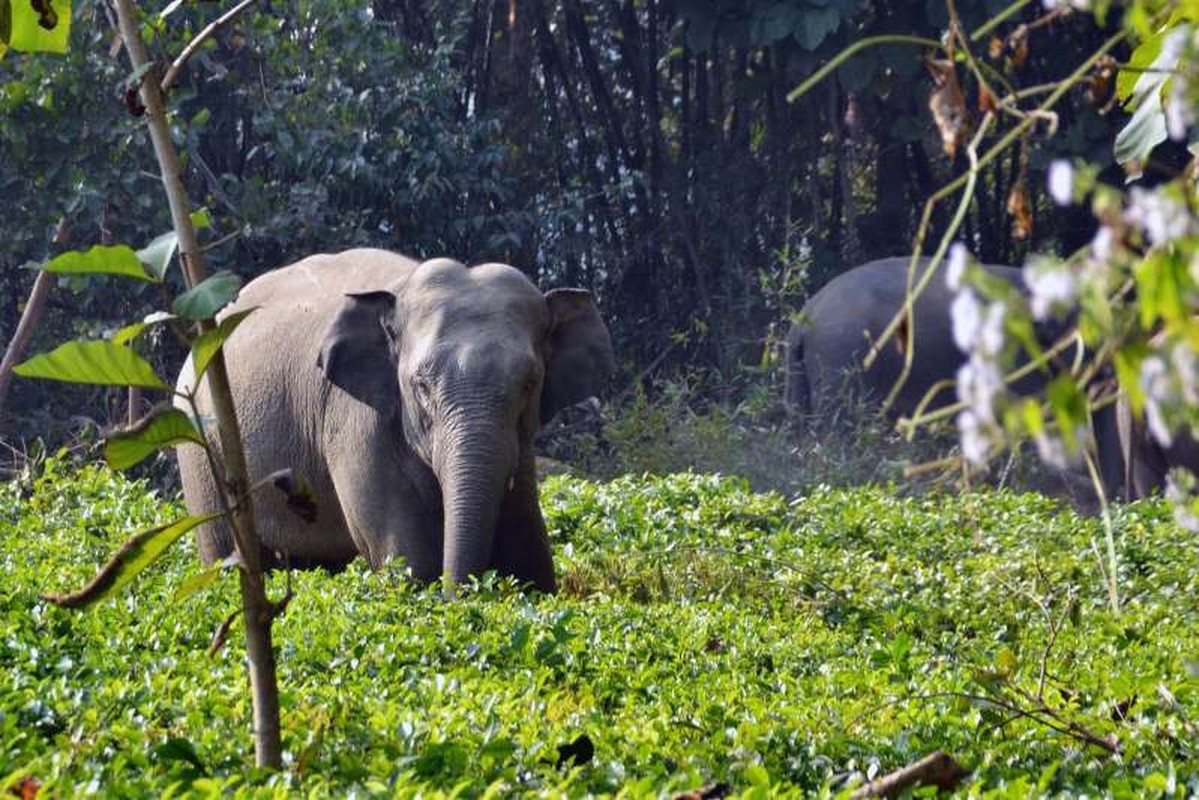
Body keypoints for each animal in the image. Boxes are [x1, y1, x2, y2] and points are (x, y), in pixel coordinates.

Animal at [175, 250, 618, 594]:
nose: (463, 596)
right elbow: (409, 561)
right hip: (202, 459)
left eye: (529, 383)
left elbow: (529, 554)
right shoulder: (356, 424)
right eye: (421, 386)